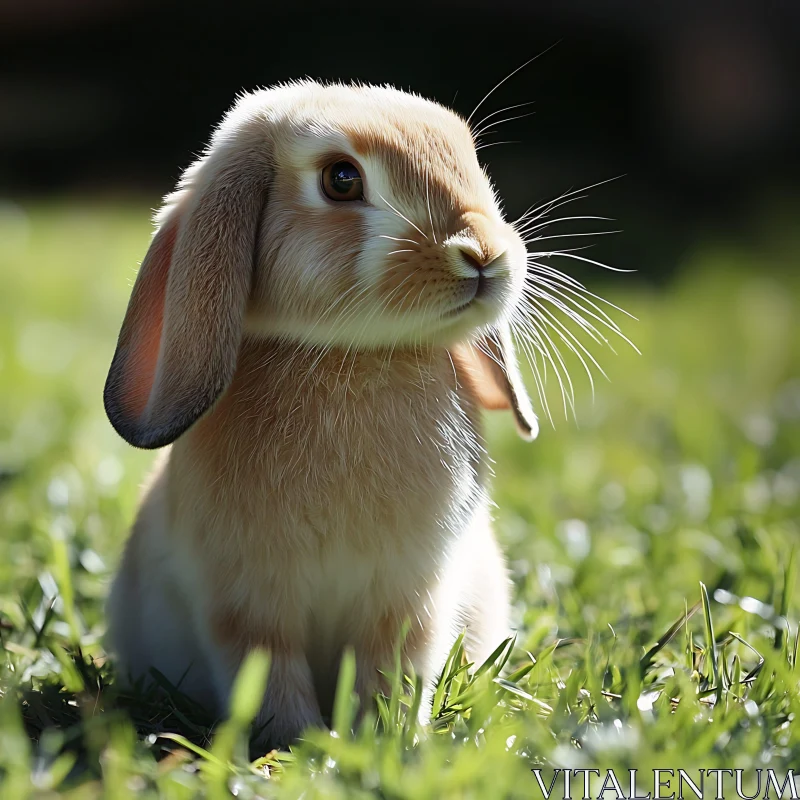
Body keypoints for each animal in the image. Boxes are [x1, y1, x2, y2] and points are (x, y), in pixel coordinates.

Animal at [101, 78, 536, 748]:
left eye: (470, 161)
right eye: (341, 180)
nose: (483, 254)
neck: (348, 354)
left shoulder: (409, 596)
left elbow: (393, 667)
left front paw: (379, 739)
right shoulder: (246, 602)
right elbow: (268, 671)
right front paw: (297, 743)